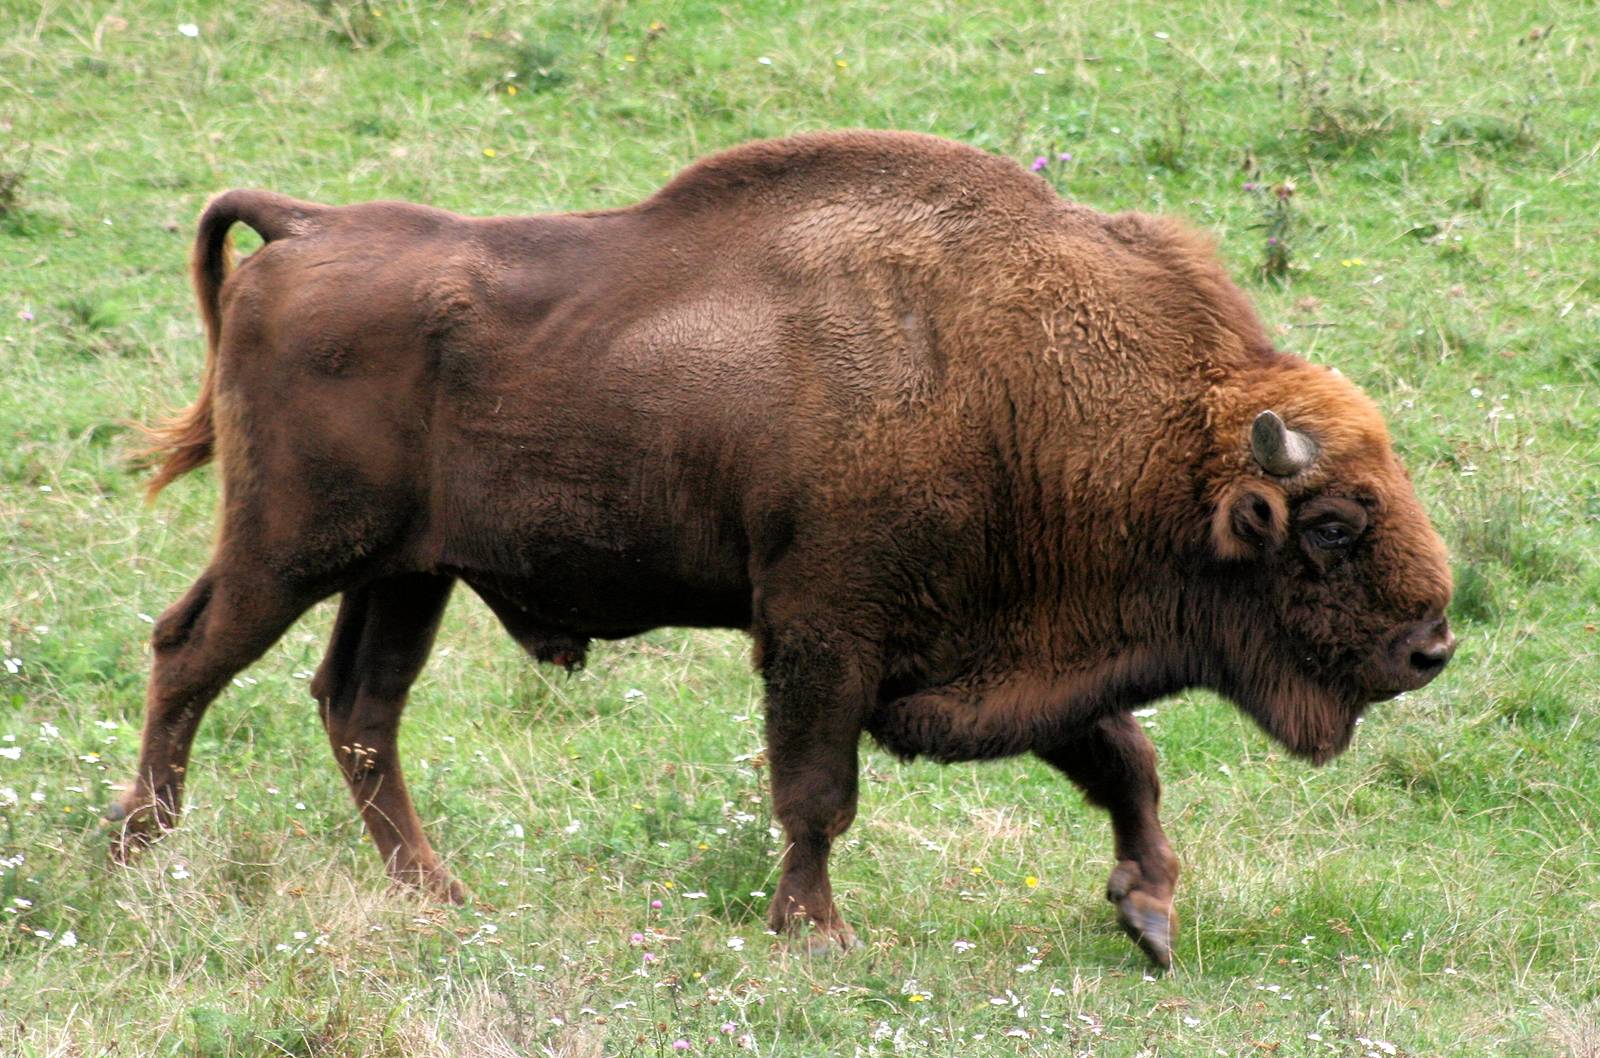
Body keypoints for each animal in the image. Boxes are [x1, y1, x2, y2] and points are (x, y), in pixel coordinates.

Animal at [114, 131, 1454, 967]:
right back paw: (141, 850)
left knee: (357, 705)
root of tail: (306, 230)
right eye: (1330, 524)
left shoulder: (1008, 651)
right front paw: (816, 931)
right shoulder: (822, 634)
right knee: (190, 654)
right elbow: (816, 791)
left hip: (406, 573)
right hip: (293, 547)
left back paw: (437, 893)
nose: (1429, 644)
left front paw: (1151, 913)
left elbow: (1123, 759)